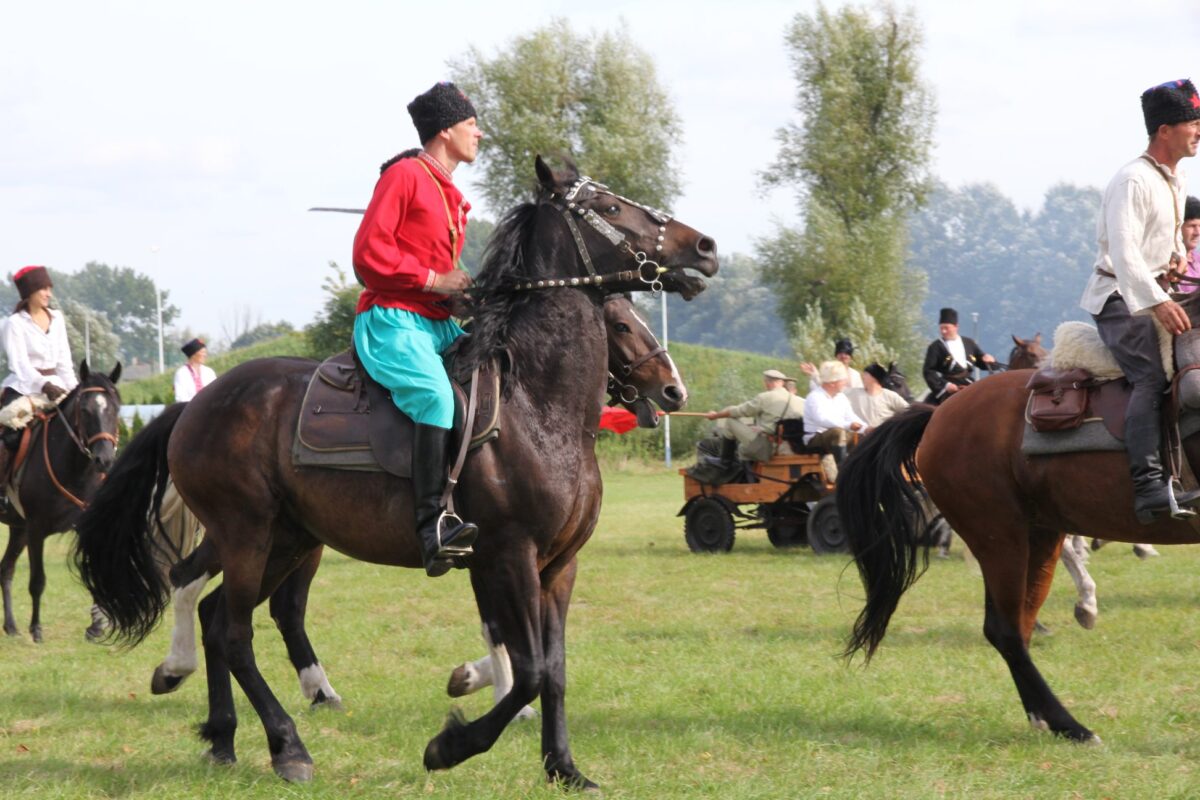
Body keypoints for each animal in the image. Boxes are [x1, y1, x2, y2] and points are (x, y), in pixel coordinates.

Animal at [0, 362, 120, 642]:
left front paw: (97, 625)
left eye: (116, 408)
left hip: (18, 529)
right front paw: (36, 629)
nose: (104, 460)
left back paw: (10, 626)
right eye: (84, 410)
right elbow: (37, 581)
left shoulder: (84, 526)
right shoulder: (35, 530)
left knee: (6, 569)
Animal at [72, 158, 710, 786]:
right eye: (610, 207)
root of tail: (195, 406)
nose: (704, 246)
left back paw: (224, 736)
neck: (538, 406)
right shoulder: (508, 556)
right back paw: (287, 746)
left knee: (216, 613)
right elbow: (525, 667)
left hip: (287, 538)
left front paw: (564, 768)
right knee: (232, 629)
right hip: (247, 533)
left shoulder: (557, 567)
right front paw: (451, 744)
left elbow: (551, 668)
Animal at [840, 297, 1200, 743]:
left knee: (1022, 621)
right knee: (1005, 629)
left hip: (1038, 534)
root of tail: (936, 417)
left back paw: (1046, 708)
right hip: (1000, 537)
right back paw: (1070, 724)